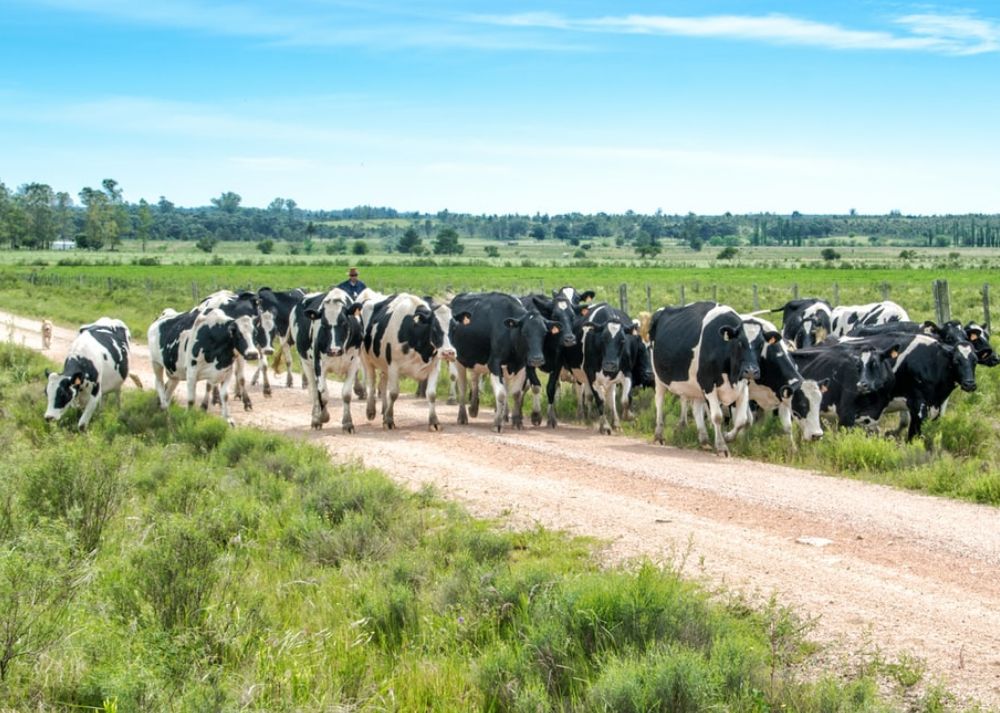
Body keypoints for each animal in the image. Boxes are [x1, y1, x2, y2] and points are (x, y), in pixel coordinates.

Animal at [362, 294, 458, 428]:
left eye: (454, 327)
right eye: (434, 328)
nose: (448, 352)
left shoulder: (434, 367)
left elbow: (431, 394)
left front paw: (434, 421)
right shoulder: (393, 366)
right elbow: (393, 393)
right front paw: (389, 420)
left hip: (384, 365)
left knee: (383, 382)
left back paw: (384, 410)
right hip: (366, 358)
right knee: (371, 381)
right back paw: (371, 411)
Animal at [450, 290, 560, 434]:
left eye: (544, 333)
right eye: (524, 332)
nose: (537, 359)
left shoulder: (521, 366)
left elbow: (516, 393)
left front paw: (517, 421)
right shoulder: (494, 364)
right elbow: (501, 394)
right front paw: (497, 423)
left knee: (475, 379)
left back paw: (475, 408)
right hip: (459, 361)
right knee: (462, 387)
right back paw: (463, 416)